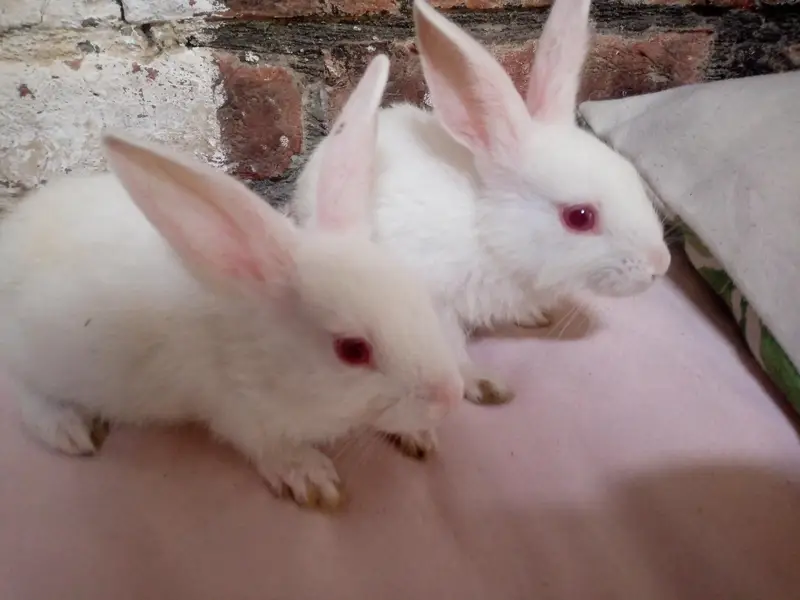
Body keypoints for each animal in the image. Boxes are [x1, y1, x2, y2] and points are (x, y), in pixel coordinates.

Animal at [0, 55, 464, 510]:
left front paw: (419, 436)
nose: (450, 396)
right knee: (24, 392)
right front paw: (313, 478)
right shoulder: (241, 413)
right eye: (353, 350)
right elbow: (272, 447)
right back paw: (70, 429)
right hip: (35, 355)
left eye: (419, 297)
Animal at [289, 0, 670, 406]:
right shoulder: (434, 301)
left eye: (631, 174)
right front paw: (483, 385)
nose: (660, 265)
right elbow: (451, 347)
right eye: (580, 217)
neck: (486, 232)